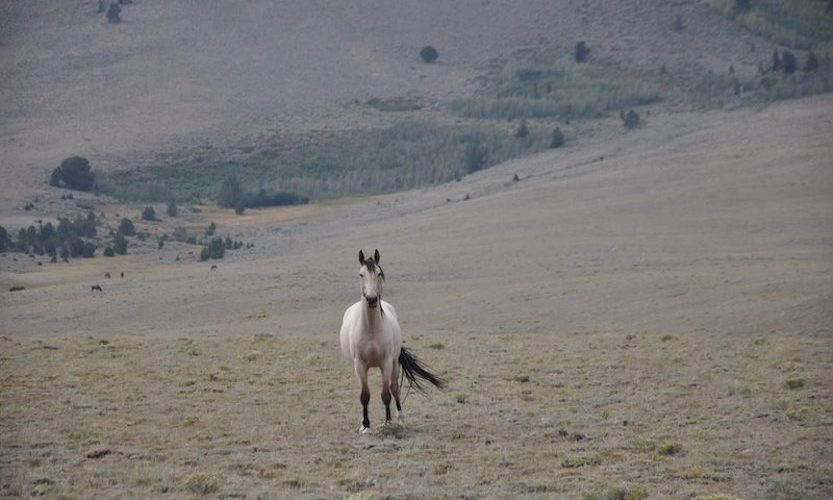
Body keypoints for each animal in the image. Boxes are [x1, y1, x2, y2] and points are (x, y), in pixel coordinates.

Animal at [340, 250, 446, 434]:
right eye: (361, 274)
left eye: (378, 273)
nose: (371, 299)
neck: (371, 329)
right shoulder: (359, 365)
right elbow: (364, 396)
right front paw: (366, 426)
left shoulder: (386, 363)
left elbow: (386, 394)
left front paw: (388, 422)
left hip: (395, 364)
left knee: (395, 389)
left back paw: (401, 418)